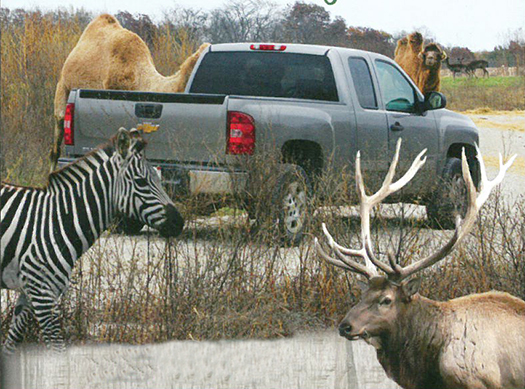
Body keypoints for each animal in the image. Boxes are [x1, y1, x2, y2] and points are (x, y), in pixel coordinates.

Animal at [0, 127, 184, 352]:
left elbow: (11, 345)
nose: (179, 222)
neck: (59, 221)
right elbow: (57, 348)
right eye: (141, 182)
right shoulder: (43, 293)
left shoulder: (28, 293)